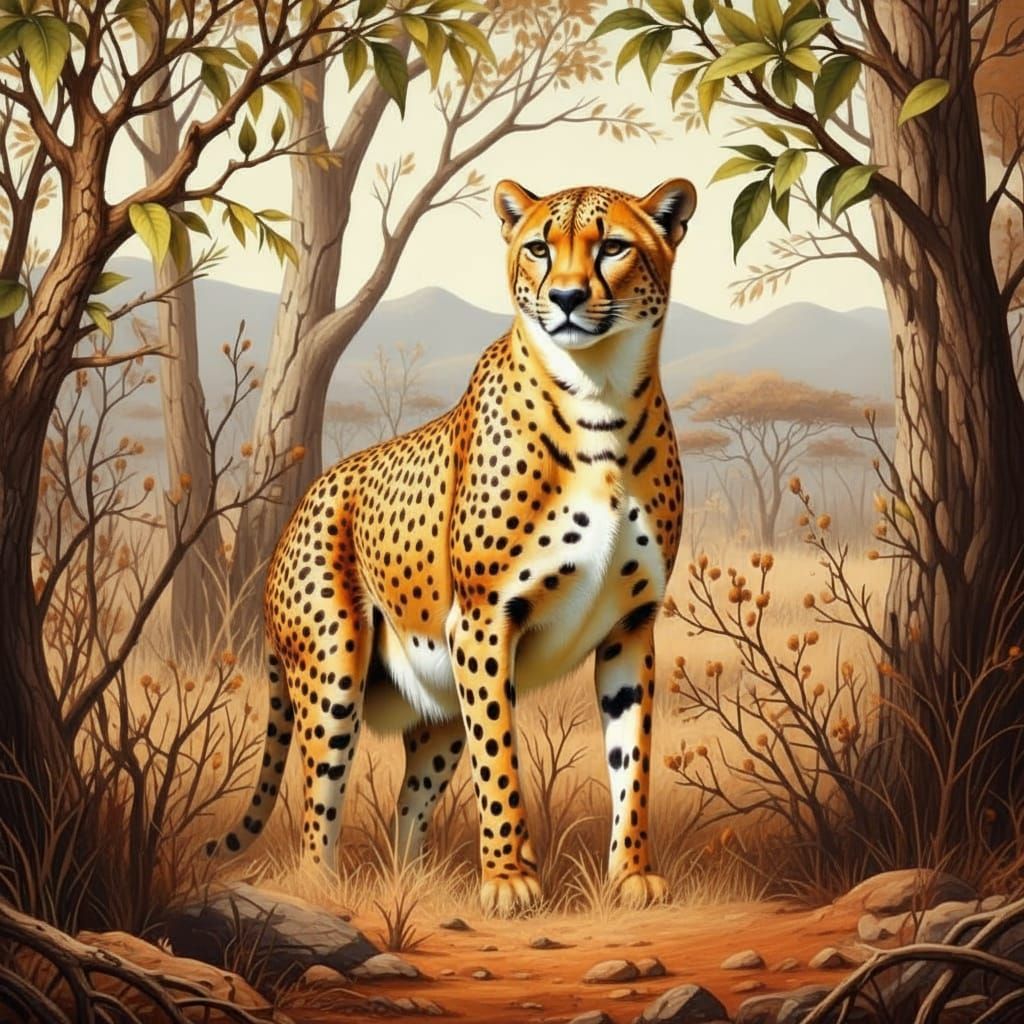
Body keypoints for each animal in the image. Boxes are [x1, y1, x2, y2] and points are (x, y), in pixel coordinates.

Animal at [208, 177, 697, 915]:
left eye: (613, 247)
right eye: (538, 248)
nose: (566, 297)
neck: (599, 397)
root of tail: (300, 505)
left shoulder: (629, 627)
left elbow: (629, 760)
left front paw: (632, 875)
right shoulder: (484, 621)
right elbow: (500, 759)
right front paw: (509, 879)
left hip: (435, 701)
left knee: (406, 805)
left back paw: (413, 882)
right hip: (333, 669)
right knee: (319, 803)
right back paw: (321, 892)